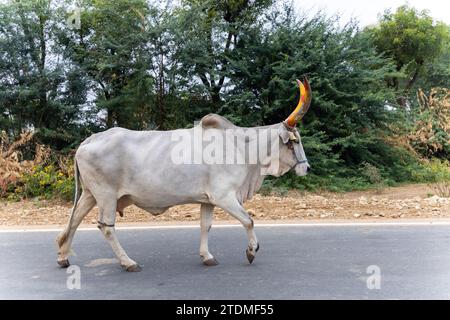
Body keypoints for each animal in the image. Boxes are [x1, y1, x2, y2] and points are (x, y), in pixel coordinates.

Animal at [56, 77, 312, 270]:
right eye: (295, 141)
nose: (307, 168)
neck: (241, 147)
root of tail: (91, 139)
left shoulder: (208, 200)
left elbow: (205, 226)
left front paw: (207, 256)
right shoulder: (225, 197)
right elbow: (248, 221)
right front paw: (251, 251)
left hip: (90, 194)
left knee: (75, 220)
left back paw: (63, 256)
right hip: (106, 196)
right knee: (106, 227)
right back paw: (128, 262)